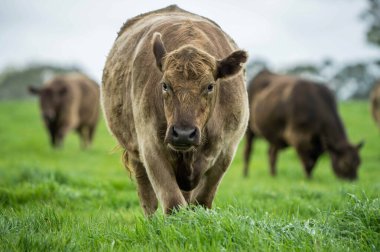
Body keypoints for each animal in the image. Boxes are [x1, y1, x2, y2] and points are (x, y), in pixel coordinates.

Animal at [101, 4, 249, 216]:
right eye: (165, 85)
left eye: (210, 86)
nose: (183, 133)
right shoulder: (150, 147)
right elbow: (173, 204)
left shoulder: (226, 151)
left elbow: (202, 201)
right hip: (135, 152)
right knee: (148, 200)